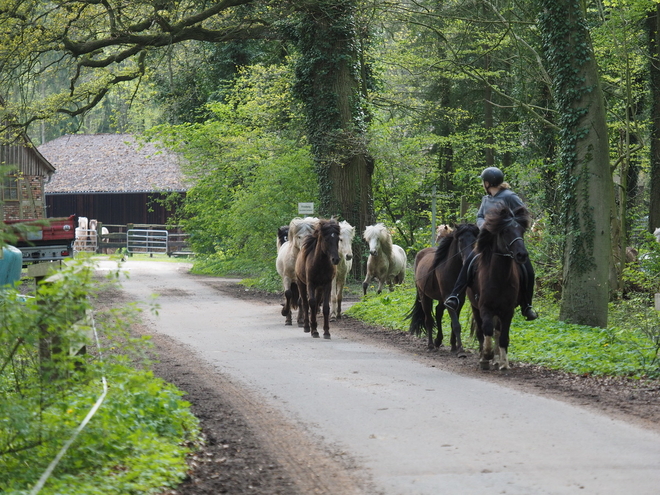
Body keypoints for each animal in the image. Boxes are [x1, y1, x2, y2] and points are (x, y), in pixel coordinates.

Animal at [404, 224, 476, 356]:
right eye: (460, 240)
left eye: (474, 240)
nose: (468, 260)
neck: (453, 269)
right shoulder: (448, 298)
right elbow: (456, 324)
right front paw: (461, 350)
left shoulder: (458, 300)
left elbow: (453, 323)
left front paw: (454, 346)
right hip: (424, 296)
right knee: (429, 319)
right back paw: (431, 345)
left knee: (438, 312)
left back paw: (438, 340)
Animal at [470, 205, 532, 372]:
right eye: (505, 231)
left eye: (521, 231)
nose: (522, 255)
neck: (499, 278)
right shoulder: (484, 307)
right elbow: (486, 329)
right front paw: (486, 355)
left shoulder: (507, 310)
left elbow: (503, 336)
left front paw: (504, 362)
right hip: (475, 307)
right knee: (481, 331)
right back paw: (484, 357)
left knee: (497, 332)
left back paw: (498, 359)